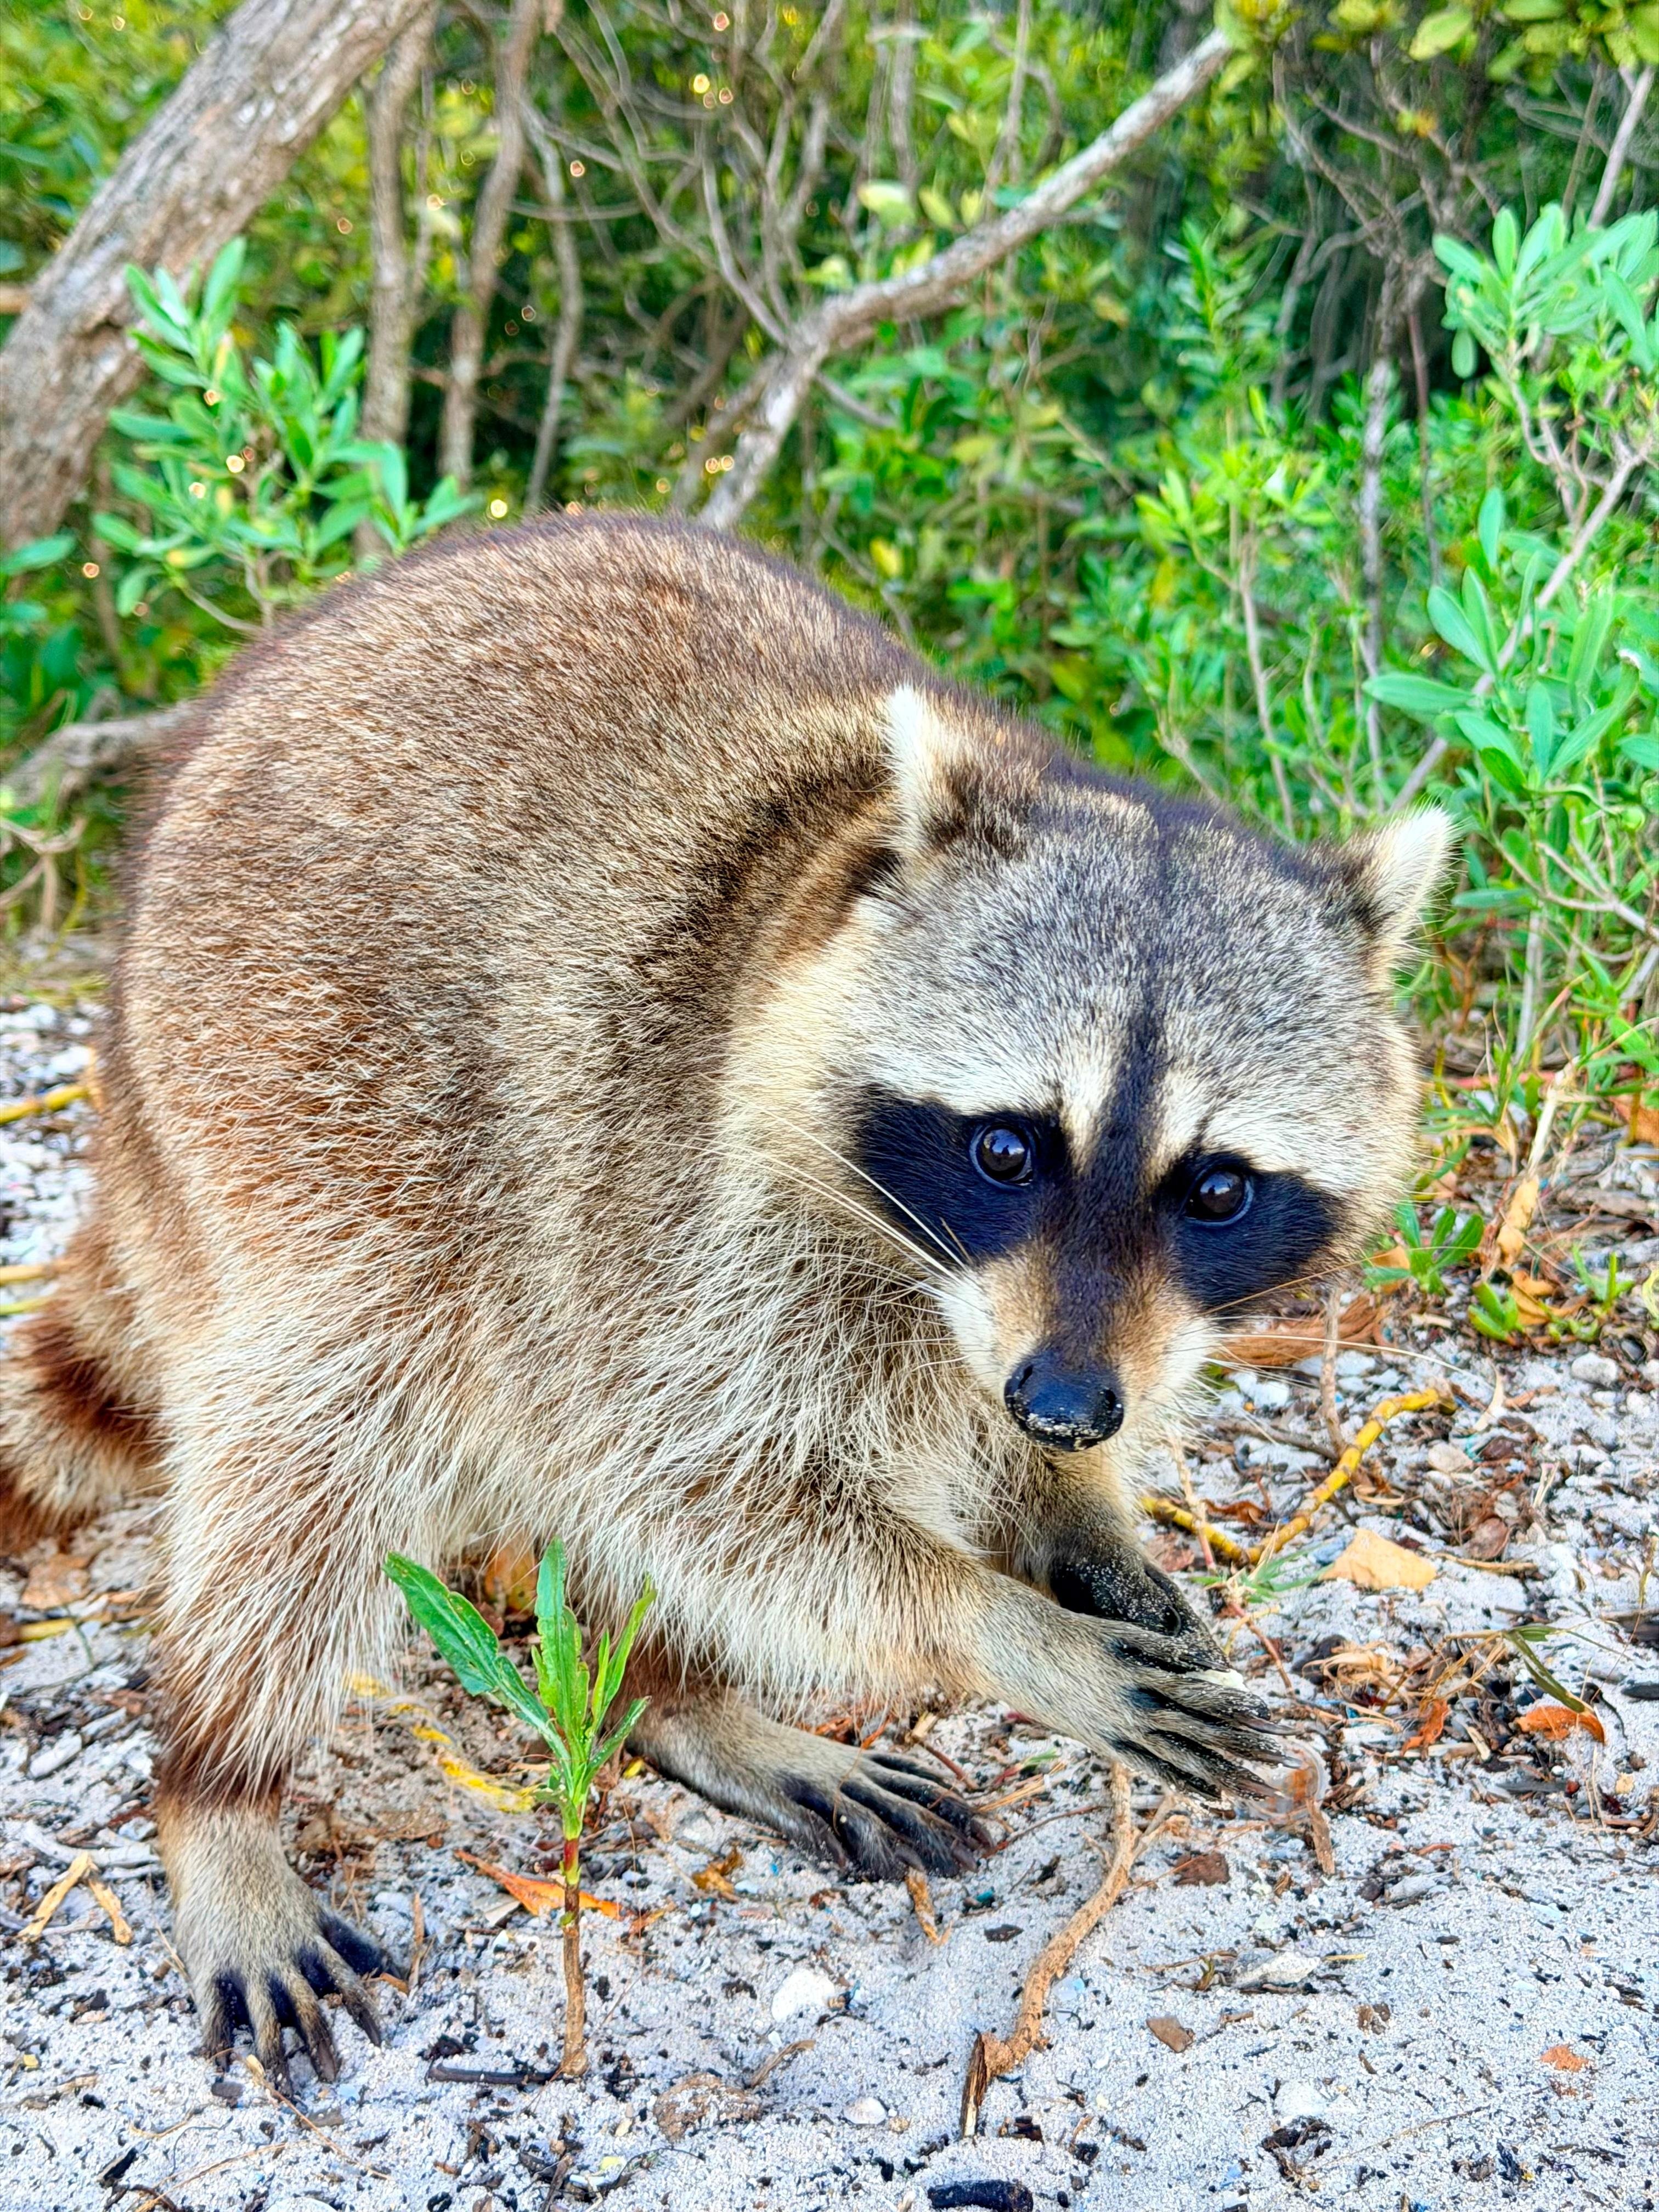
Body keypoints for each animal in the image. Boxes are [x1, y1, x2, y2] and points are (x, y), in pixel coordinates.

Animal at [0, 515, 1445, 2090]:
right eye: (1008, 1149)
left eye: (1218, 1190)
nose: (1066, 1408)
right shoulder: (675, 1193)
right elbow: (703, 1490)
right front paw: (1005, 1628)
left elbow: (863, 1469)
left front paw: (1081, 1522)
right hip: (289, 1084)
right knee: (322, 1445)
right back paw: (225, 1787)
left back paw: (673, 1698)